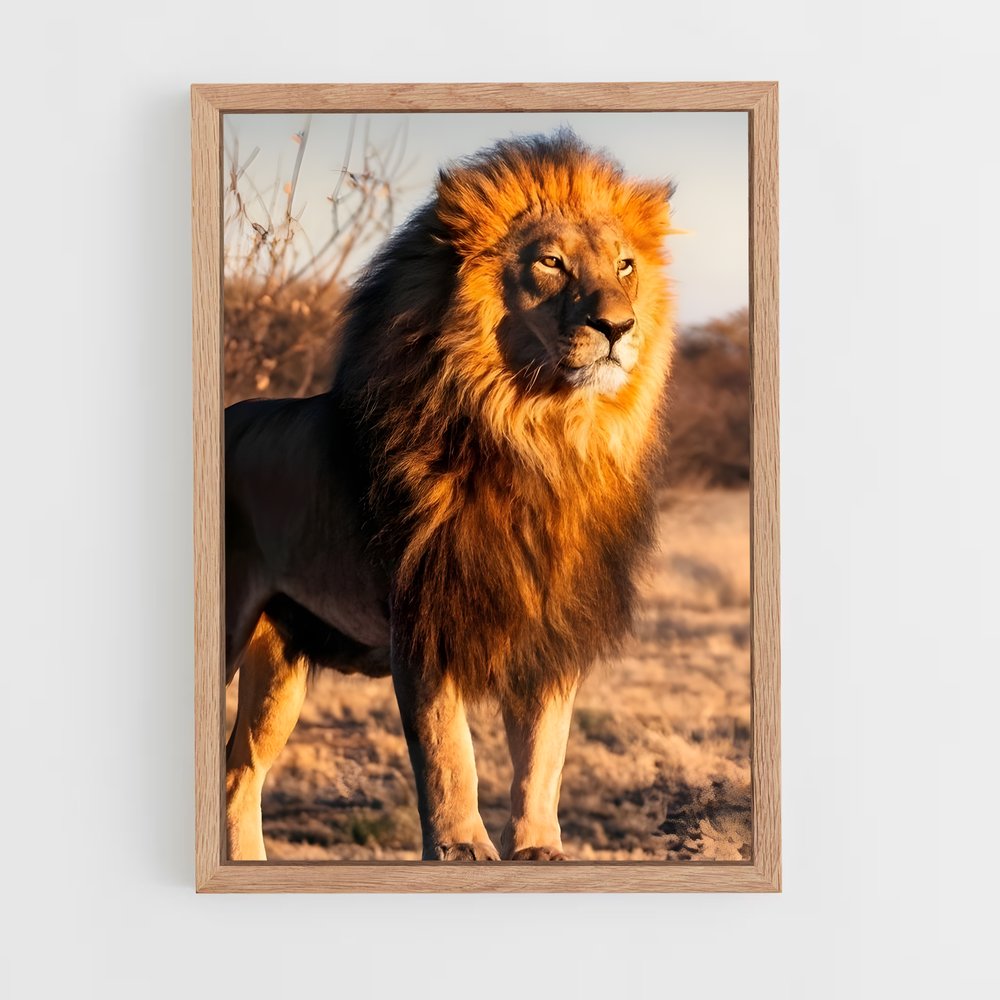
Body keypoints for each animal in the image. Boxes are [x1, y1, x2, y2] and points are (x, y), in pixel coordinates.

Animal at [224, 132, 676, 862]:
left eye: (626, 265)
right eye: (551, 262)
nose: (618, 326)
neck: (542, 437)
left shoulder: (551, 627)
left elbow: (545, 754)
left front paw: (540, 850)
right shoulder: (424, 617)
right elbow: (447, 750)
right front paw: (462, 847)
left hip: (278, 664)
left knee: (239, 772)